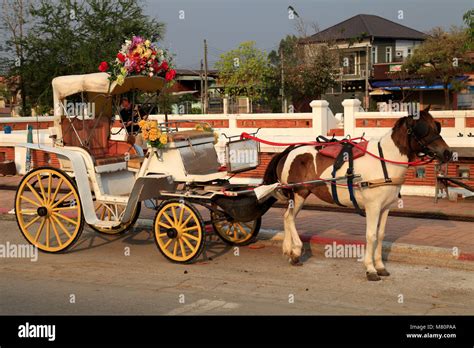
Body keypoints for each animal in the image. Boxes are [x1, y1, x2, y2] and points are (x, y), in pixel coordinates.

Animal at [262, 107, 452, 282]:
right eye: (423, 128)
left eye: (437, 126)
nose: (448, 152)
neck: (384, 160)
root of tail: (288, 151)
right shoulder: (372, 206)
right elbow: (371, 236)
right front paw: (370, 269)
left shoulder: (385, 207)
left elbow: (381, 235)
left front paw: (380, 266)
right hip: (299, 192)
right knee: (290, 218)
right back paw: (296, 250)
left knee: (288, 217)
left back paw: (289, 250)